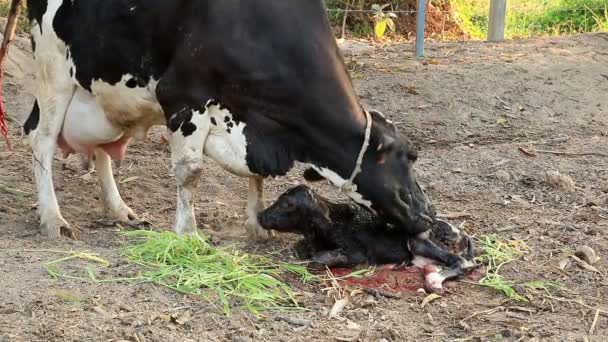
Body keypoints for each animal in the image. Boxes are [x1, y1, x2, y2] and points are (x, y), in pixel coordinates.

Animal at [1, 0, 436, 242]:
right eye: (410, 155)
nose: (429, 215)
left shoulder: (248, 124)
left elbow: (256, 175)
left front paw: (256, 227)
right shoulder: (182, 94)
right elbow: (190, 171)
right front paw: (188, 234)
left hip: (102, 90)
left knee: (101, 146)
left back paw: (118, 208)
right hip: (54, 69)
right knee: (40, 139)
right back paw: (53, 217)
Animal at [258, 184, 478, 292]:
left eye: (287, 204)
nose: (260, 215)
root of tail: (464, 235)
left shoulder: (358, 254)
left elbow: (321, 259)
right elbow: (300, 247)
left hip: (419, 240)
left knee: (462, 262)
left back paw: (434, 279)